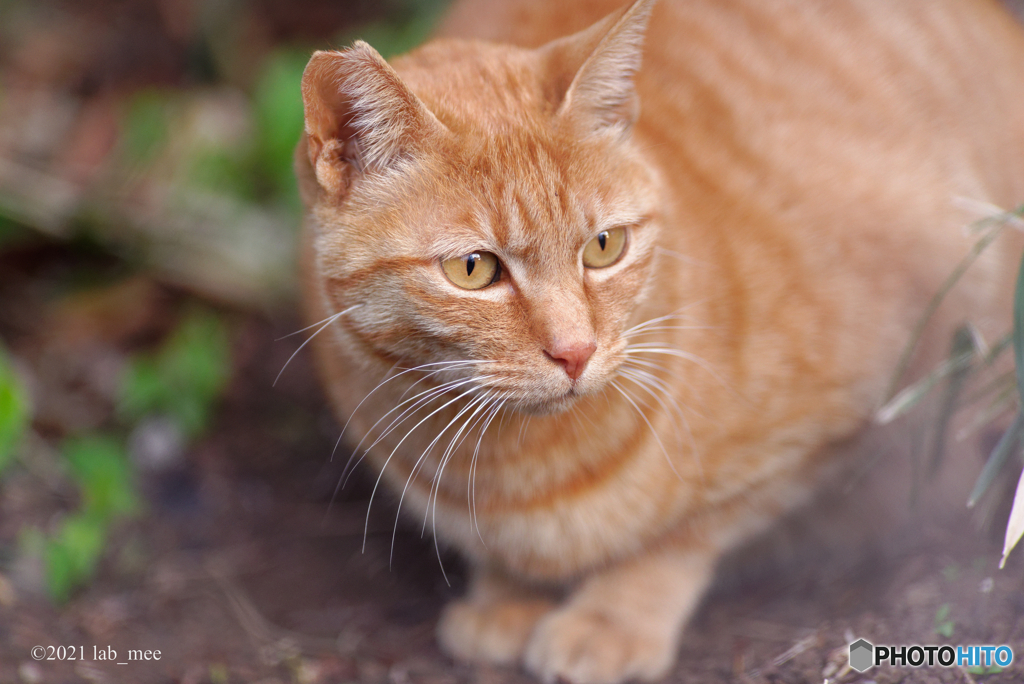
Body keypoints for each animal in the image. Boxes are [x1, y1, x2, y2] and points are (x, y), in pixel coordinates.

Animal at [294, 0, 1024, 679]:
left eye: (604, 246)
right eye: (473, 269)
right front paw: (507, 596)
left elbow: (684, 534)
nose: (575, 351)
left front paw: (613, 618)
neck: (520, 471)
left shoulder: (866, 398)